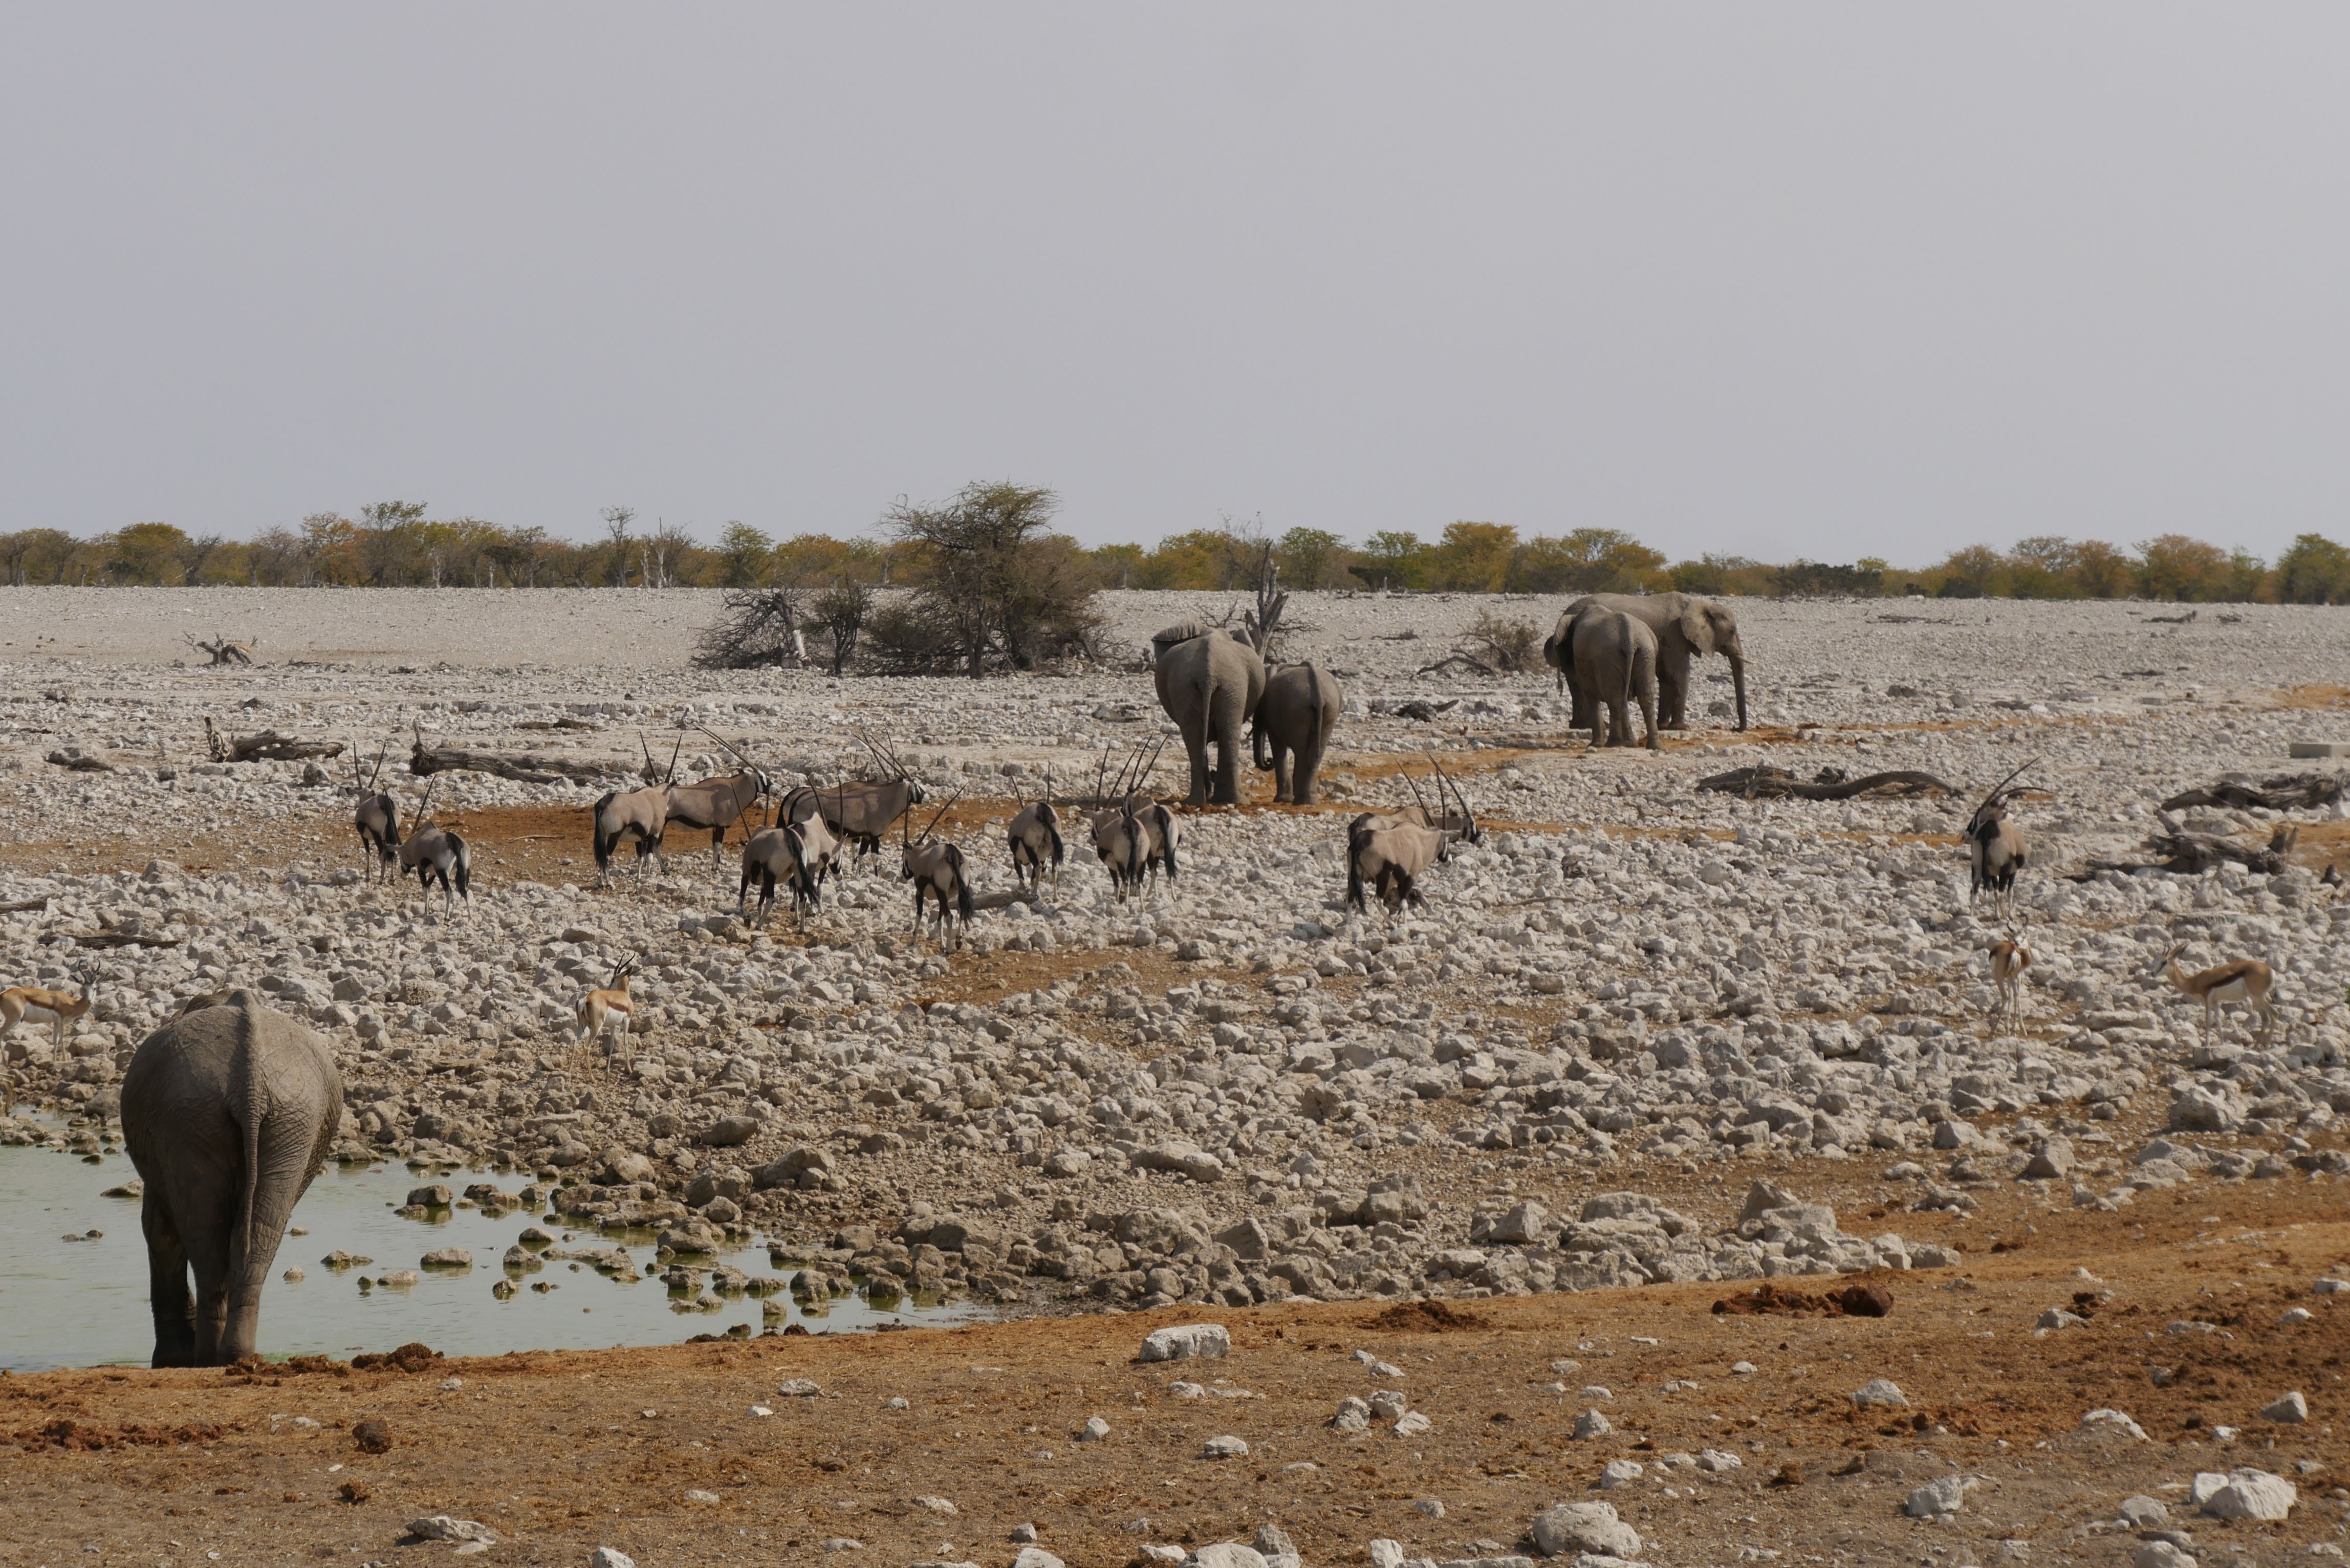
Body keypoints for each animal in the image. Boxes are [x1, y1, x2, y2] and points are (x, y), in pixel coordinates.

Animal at [120, 991, 343, 1367]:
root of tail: (249, 1087)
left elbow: (158, 1231)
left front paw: (171, 1360)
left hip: (202, 1117)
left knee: (207, 1236)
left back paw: (208, 1358)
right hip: (281, 1120)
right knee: (251, 1234)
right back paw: (233, 1357)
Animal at [1152, 622, 1266, 806]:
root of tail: (1209, 673)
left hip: (1189, 686)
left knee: (1198, 735)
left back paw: (1202, 801)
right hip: (1231, 685)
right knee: (1224, 732)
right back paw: (1231, 801)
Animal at [1253, 663, 1343, 804]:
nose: (1268, 761)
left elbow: (1277, 747)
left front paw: (1282, 800)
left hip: (1298, 711)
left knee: (1301, 751)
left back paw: (1300, 800)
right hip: (1330, 709)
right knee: (1316, 751)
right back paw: (1309, 801)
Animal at [1543, 592, 1748, 732]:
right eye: (1732, 631)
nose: (1735, 729)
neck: (1698, 603)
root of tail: (1565, 614)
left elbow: (1666, 677)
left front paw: (1663, 725)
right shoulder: (1675, 636)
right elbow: (1679, 675)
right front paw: (1682, 728)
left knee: (1575, 682)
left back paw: (1580, 726)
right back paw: (1593, 726)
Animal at [1568, 608, 1661, 750]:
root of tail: (1629, 636)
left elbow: (1591, 695)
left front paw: (1595, 745)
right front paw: (1630, 744)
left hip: (1609, 658)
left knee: (1615, 699)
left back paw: (1613, 744)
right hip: (1646, 654)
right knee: (1645, 697)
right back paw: (1652, 746)